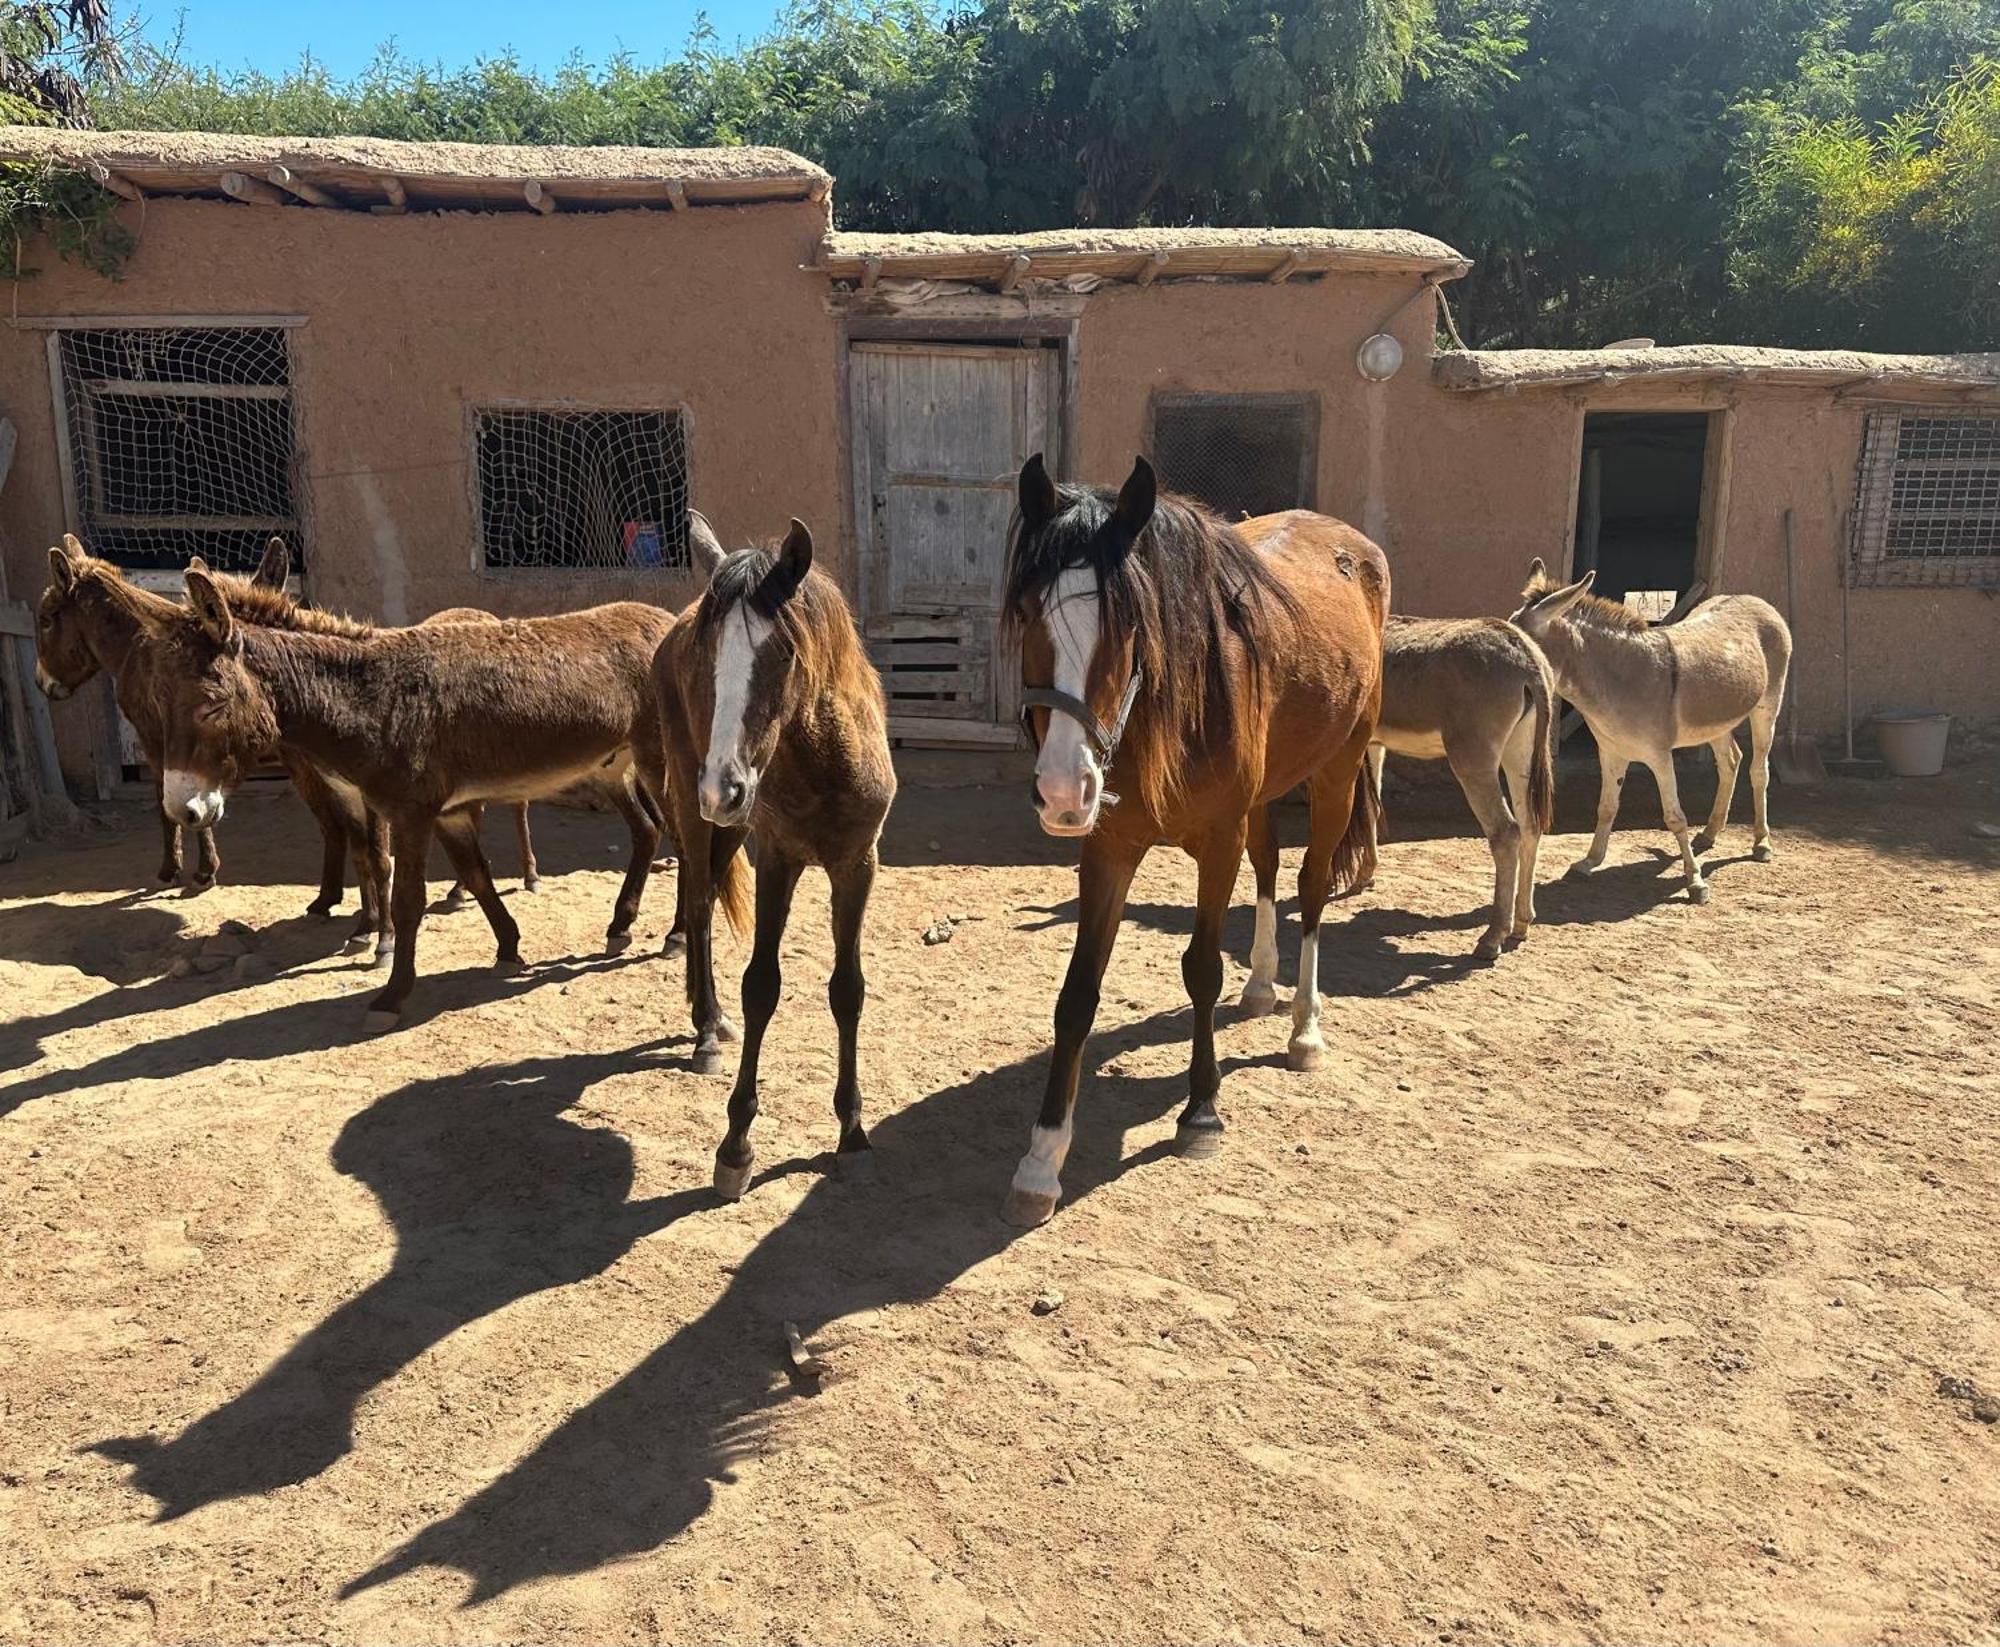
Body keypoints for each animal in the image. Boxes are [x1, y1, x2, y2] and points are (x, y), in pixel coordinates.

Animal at [148, 571, 680, 1023]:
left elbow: (408, 900)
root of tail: (667, 618)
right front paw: (509, 947)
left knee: (686, 844)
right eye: (163, 706)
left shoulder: (411, 814)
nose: (181, 810)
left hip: (661, 762)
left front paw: (393, 994)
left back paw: (674, 936)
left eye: (211, 706)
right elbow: (477, 876)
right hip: (611, 766)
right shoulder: (448, 813)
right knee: (648, 830)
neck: (371, 700)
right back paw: (621, 925)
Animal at [656, 515, 892, 1199]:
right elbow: (761, 985)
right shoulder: (779, 859)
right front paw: (735, 1146)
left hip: (732, 826)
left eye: (784, 653)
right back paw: (707, 1029)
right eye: (706, 655)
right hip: (695, 808)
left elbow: (848, 989)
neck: (823, 765)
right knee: (698, 904)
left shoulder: (857, 864)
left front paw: (852, 1133)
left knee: (707, 891)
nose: (723, 787)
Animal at [1000, 457, 1392, 1231]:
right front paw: (1042, 1157)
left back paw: (1304, 1028)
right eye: (1029, 611)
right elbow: (1077, 993)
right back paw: (1262, 986)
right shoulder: (1109, 848)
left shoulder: (1218, 839)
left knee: (1310, 887)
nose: (1062, 791)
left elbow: (1201, 969)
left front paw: (1202, 1112)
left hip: (1335, 771)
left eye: (1126, 624)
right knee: (1270, 869)